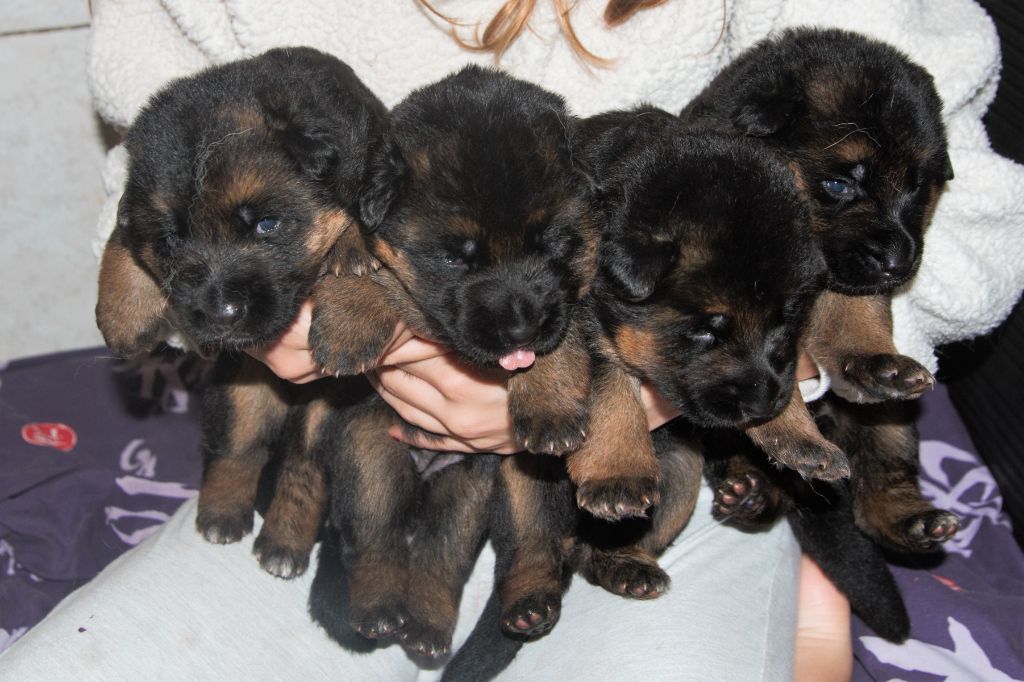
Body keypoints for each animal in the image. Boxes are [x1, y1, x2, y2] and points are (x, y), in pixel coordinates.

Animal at [96, 47, 385, 577]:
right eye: (172, 238)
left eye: (266, 225)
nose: (219, 313)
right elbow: (123, 231)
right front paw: (123, 312)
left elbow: (366, 234)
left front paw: (352, 280)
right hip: (239, 387)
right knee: (239, 448)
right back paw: (222, 513)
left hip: (326, 413)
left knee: (303, 468)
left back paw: (283, 543)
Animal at [679, 25, 958, 552]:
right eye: (839, 184)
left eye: (917, 186)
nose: (900, 263)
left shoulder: (848, 281)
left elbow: (856, 314)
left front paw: (876, 361)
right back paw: (752, 490)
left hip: (889, 423)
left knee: (880, 479)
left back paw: (912, 519)